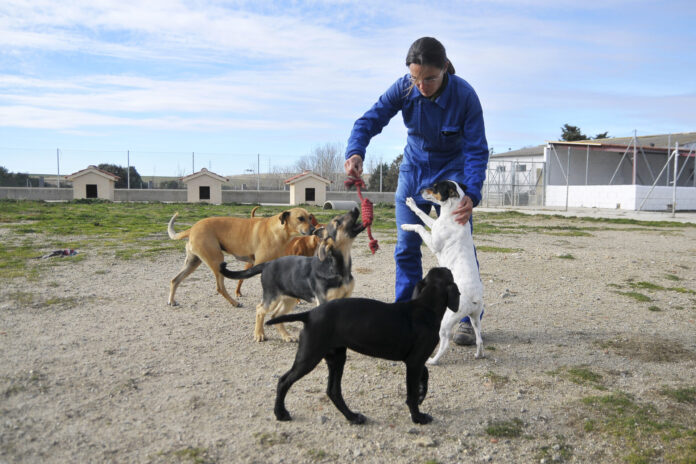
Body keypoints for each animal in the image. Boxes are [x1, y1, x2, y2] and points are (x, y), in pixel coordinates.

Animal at [167, 208, 314, 306]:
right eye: (300, 218)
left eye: (310, 217)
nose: (313, 230)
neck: (278, 231)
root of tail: (192, 228)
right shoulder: (260, 265)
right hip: (217, 261)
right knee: (220, 288)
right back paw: (234, 303)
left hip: (193, 262)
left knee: (175, 280)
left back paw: (171, 300)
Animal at [266, 266, 456, 426]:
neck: (426, 306)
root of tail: (309, 314)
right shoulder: (415, 361)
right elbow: (412, 392)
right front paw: (418, 417)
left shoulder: (415, 360)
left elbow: (425, 373)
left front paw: (422, 393)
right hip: (310, 356)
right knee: (284, 381)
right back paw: (280, 413)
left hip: (336, 357)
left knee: (333, 391)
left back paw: (353, 417)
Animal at [402, 179, 484, 364]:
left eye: (435, 187)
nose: (420, 189)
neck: (452, 214)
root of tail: (474, 297)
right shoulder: (435, 224)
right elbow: (421, 216)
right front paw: (411, 206)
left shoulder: (433, 243)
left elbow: (419, 225)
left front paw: (408, 224)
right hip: (475, 319)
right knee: (479, 339)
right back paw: (479, 354)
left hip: (446, 320)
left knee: (444, 343)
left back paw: (432, 360)